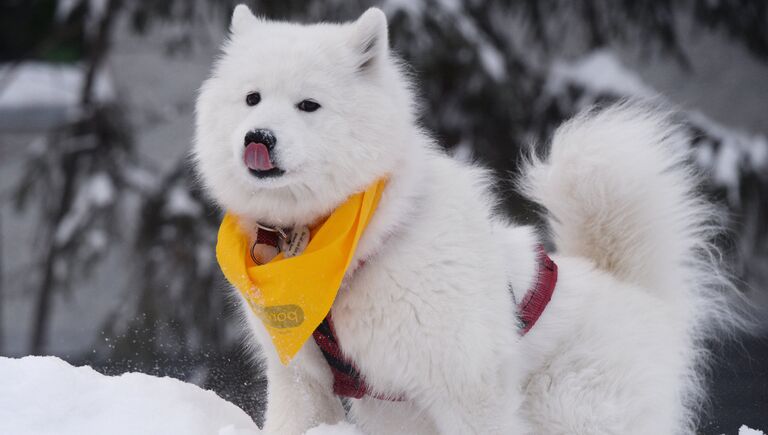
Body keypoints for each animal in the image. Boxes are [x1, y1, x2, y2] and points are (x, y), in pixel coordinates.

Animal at [194, 5, 732, 434]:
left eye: (308, 105)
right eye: (252, 98)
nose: (257, 137)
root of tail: (633, 288)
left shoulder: (466, 379)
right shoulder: (300, 376)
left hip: (572, 407)